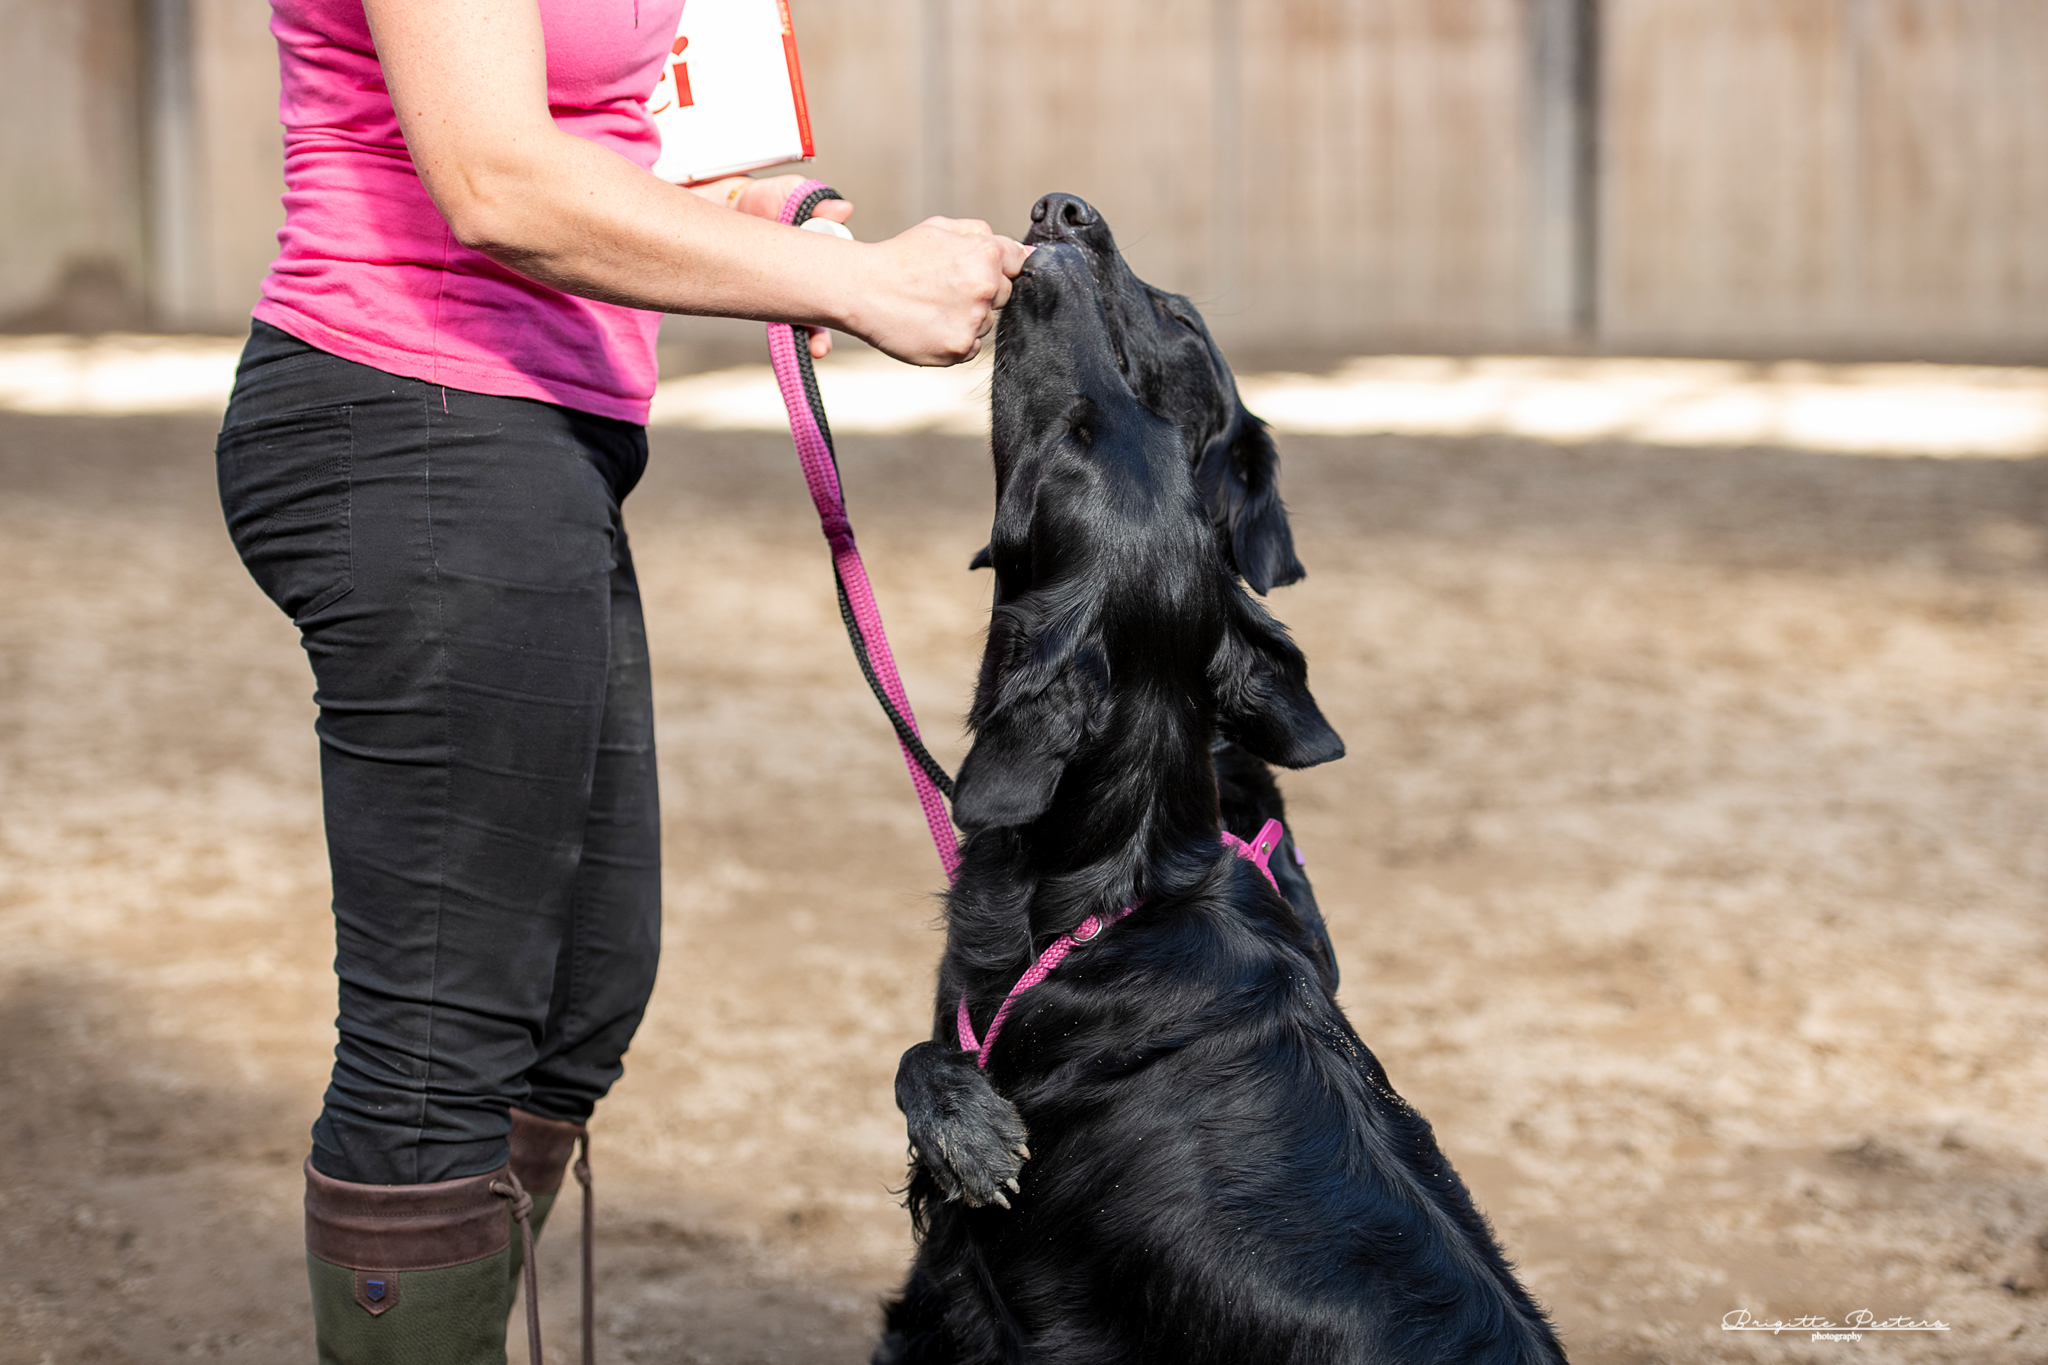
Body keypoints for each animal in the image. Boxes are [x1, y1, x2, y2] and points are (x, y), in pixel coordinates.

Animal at [875, 227, 1566, 1365]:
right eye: (1112, 423)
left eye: (1077, 431)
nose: (1049, 250)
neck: (1125, 877)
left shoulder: (971, 1280)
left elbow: (920, 1065)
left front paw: (967, 1133)